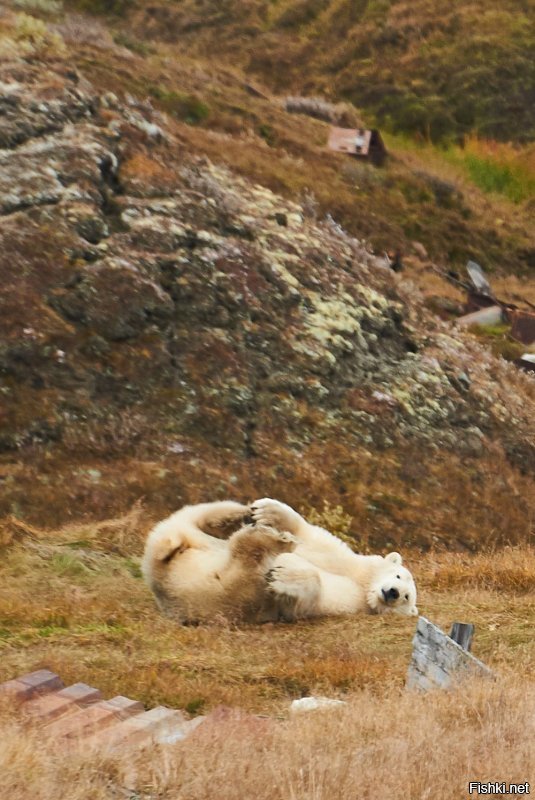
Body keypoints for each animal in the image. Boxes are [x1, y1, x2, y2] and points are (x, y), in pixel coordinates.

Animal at [251, 500, 418, 620]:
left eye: (406, 597)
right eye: (398, 575)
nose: (394, 592)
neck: (365, 585)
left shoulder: (352, 602)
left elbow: (310, 598)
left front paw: (282, 576)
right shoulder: (346, 564)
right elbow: (312, 541)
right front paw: (265, 511)